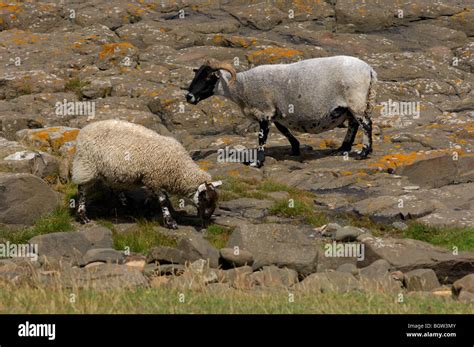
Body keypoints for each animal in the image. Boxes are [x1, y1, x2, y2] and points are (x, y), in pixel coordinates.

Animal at [71, 121, 222, 230]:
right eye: (205, 198)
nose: (207, 219)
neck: (179, 168)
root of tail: (85, 129)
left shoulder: (154, 180)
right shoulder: (154, 178)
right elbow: (163, 201)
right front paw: (170, 222)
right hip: (87, 164)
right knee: (82, 190)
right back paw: (83, 216)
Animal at [186, 55, 378, 167]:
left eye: (208, 77)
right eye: (196, 75)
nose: (188, 97)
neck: (243, 86)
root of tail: (369, 69)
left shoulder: (264, 112)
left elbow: (262, 138)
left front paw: (257, 162)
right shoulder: (276, 113)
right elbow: (283, 130)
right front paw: (295, 148)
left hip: (356, 99)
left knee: (366, 123)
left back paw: (363, 153)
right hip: (349, 106)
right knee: (353, 124)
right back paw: (342, 149)